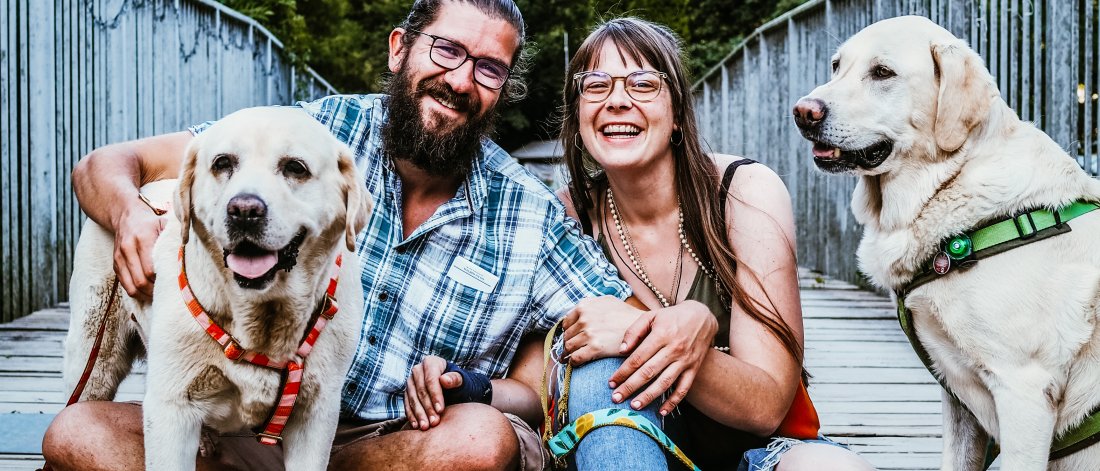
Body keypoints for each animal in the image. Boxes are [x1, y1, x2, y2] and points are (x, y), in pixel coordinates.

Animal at [65, 106, 374, 471]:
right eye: (222, 163)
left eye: (295, 168)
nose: (244, 210)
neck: (260, 315)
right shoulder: (170, 411)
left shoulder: (315, 414)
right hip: (93, 359)